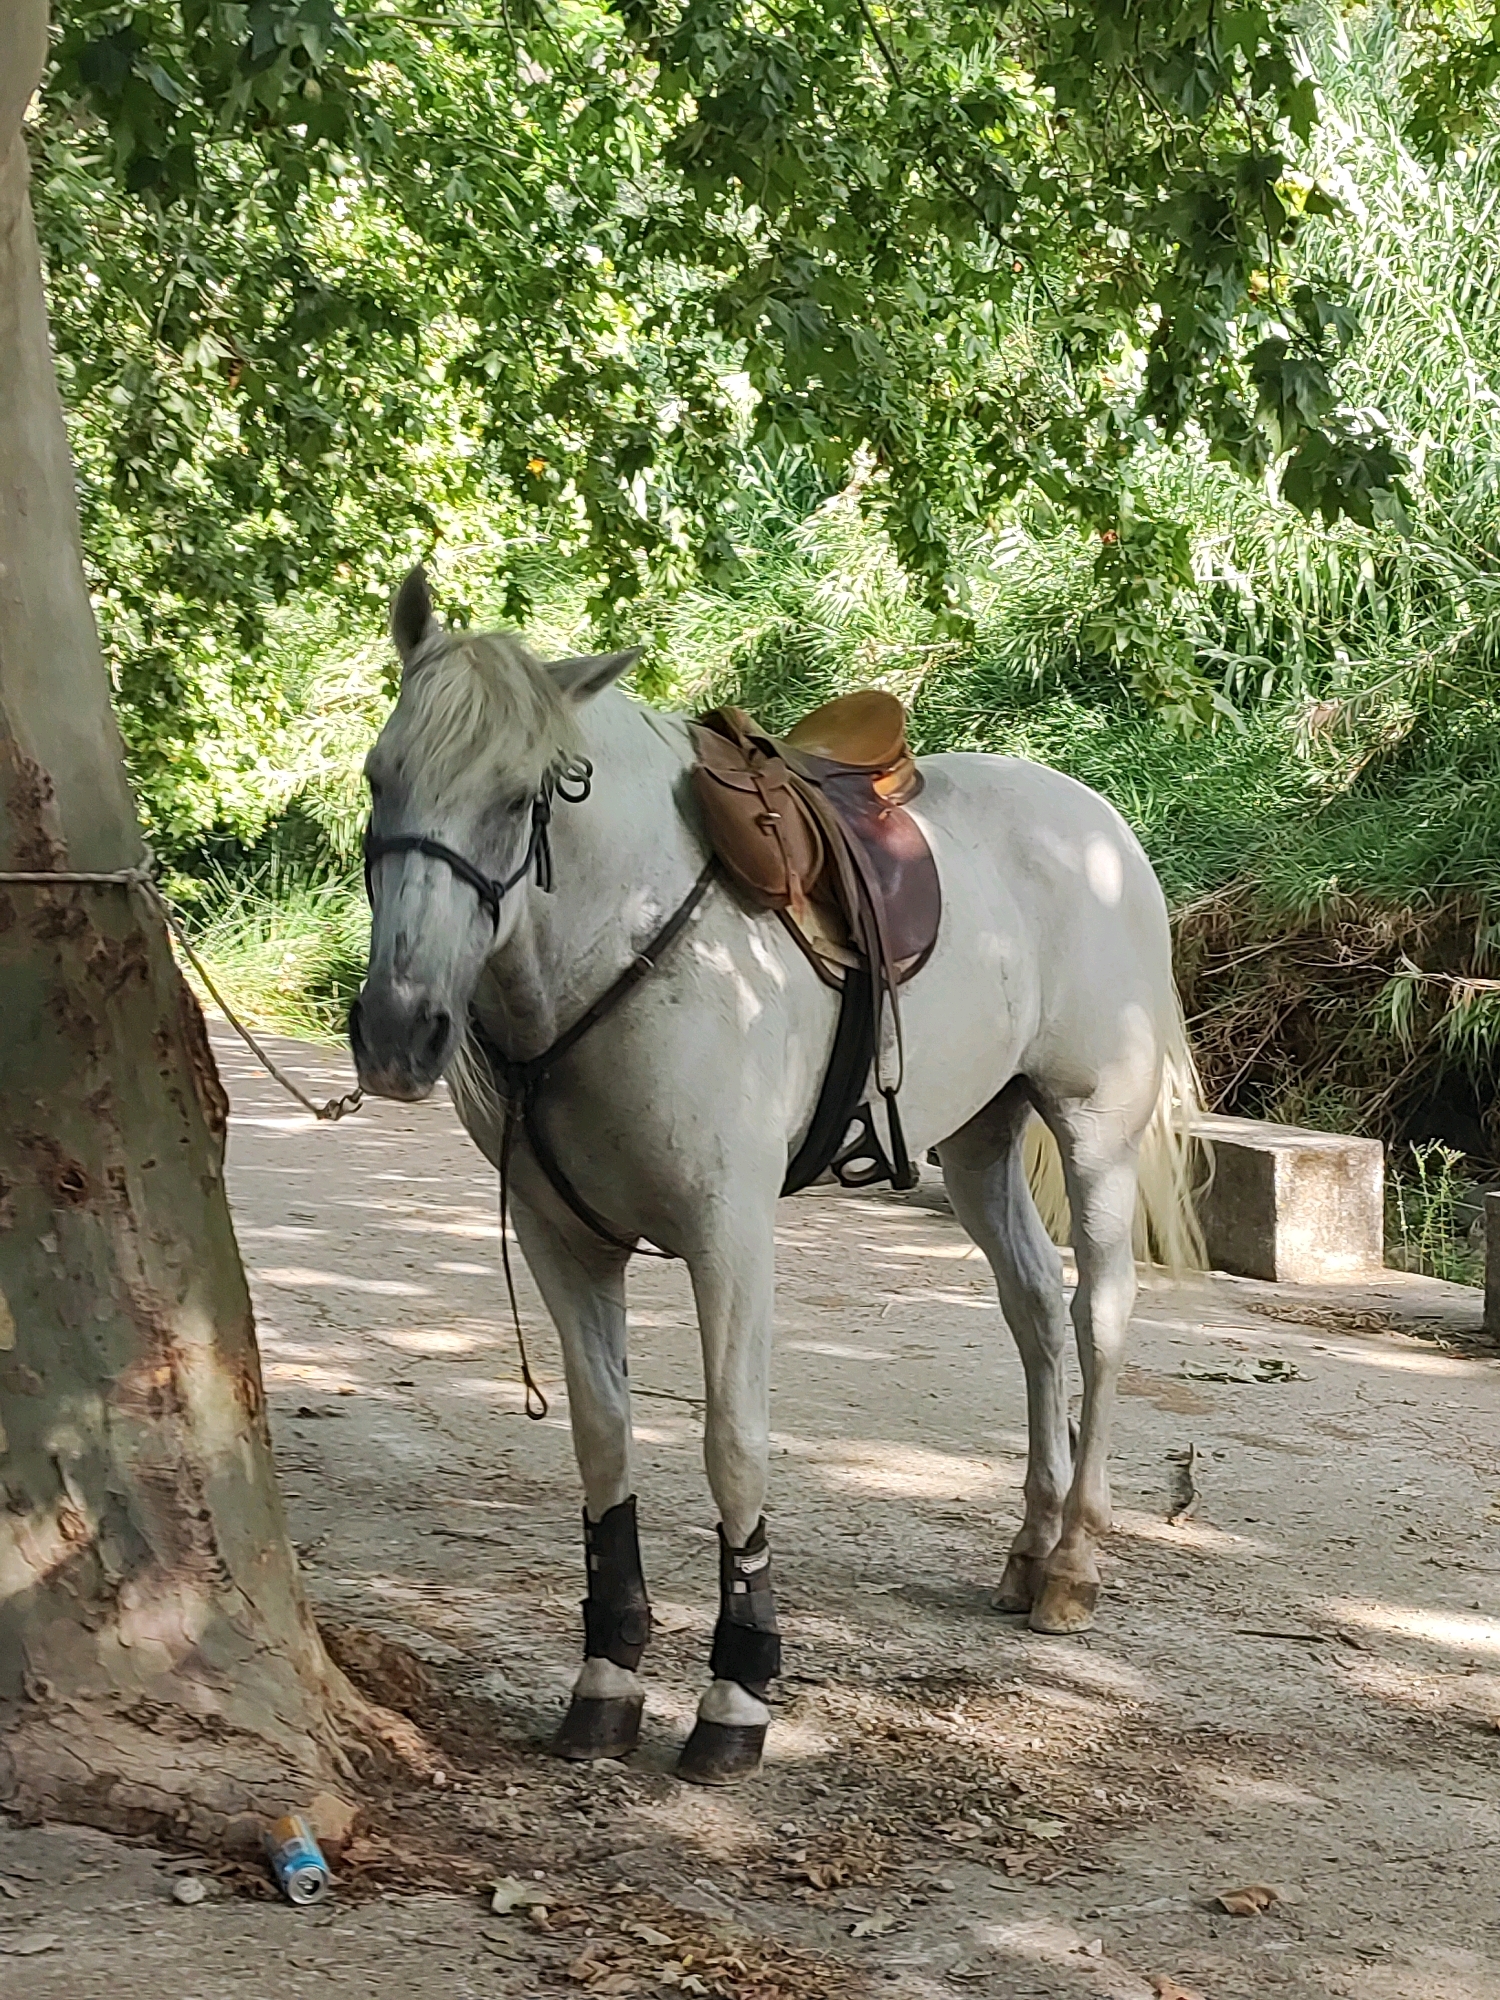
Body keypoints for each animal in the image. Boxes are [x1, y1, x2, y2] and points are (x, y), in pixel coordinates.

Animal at [350, 567, 1200, 1786]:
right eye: (382, 775)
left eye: (521, 799)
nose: (396, 1030)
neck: (619, 939)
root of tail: (1101, 828)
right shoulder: (560, 1239)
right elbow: (603, 1437)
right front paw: (606, 1675)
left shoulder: (729, 1235)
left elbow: (733, 1446)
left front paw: (739, 1690)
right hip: (981, 1144)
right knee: (1036, 1310)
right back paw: (1030, 1547)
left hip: (1094, 1132)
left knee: (1100, 1319)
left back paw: (1076, 1562)